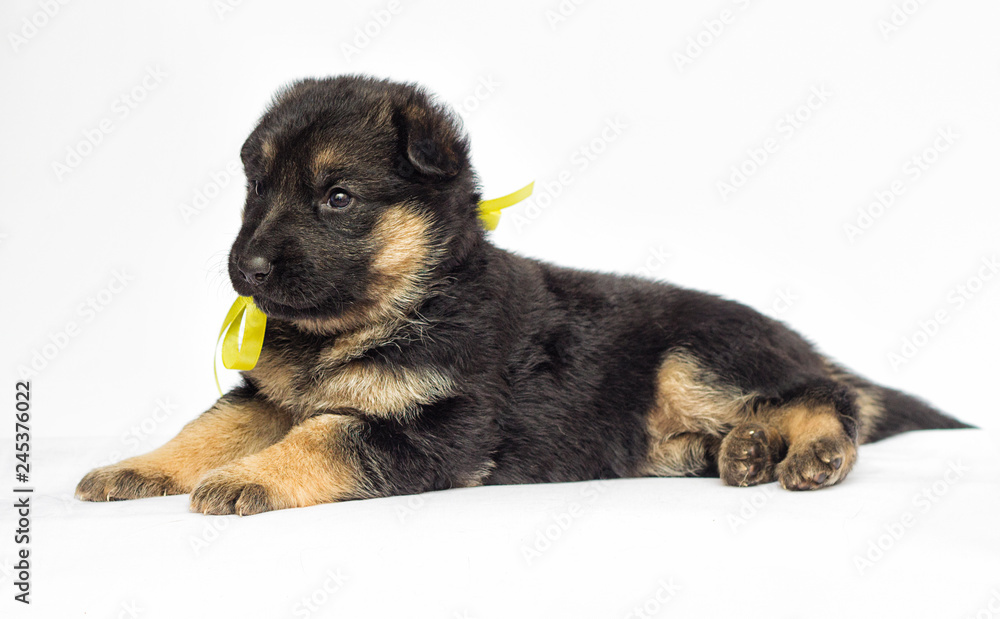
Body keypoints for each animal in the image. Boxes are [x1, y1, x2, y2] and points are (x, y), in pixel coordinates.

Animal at [76, 75, 968, 516]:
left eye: (337, 197)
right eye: (256, 188)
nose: (248, 268)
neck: (404, 301)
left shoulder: (437, 423)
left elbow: (327, 437)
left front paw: (249, 478)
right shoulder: (267, 394)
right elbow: (205, 428)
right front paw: (136, 467)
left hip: (691, 357)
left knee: (831, 395)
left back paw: (807, 449)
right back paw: (740, 450)